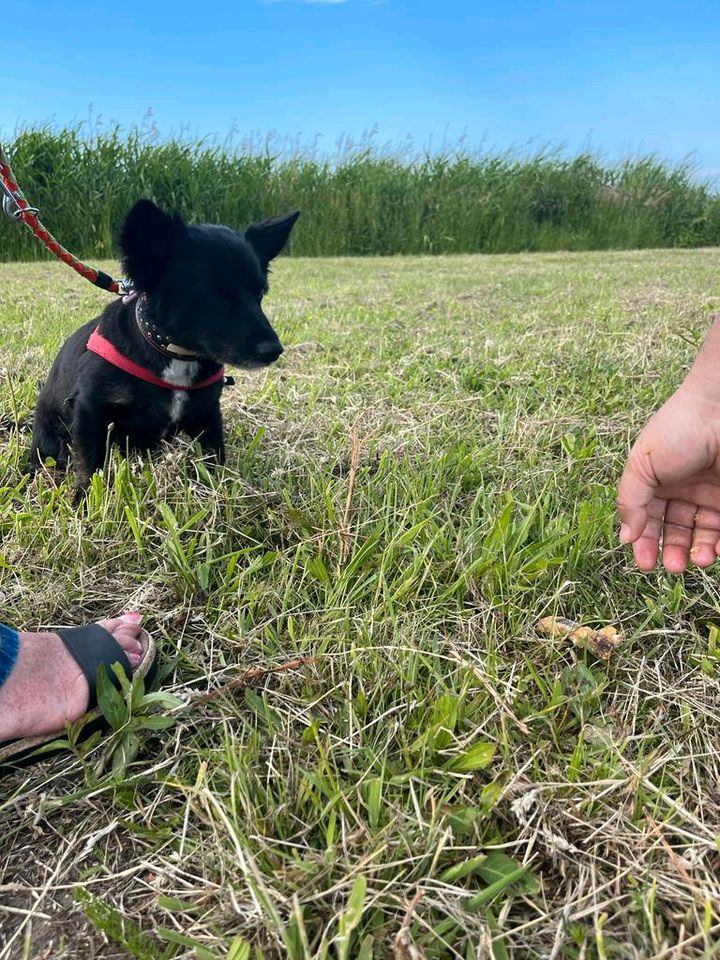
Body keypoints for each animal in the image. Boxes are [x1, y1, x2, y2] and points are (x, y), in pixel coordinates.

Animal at [29, 198, 300, 492]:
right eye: (211, 295)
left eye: (259, 292)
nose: (274, 350)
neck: (174, 353)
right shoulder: (90, 411)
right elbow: (90, 466)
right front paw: (85, 497)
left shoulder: (208, 413)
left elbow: (215, 457)